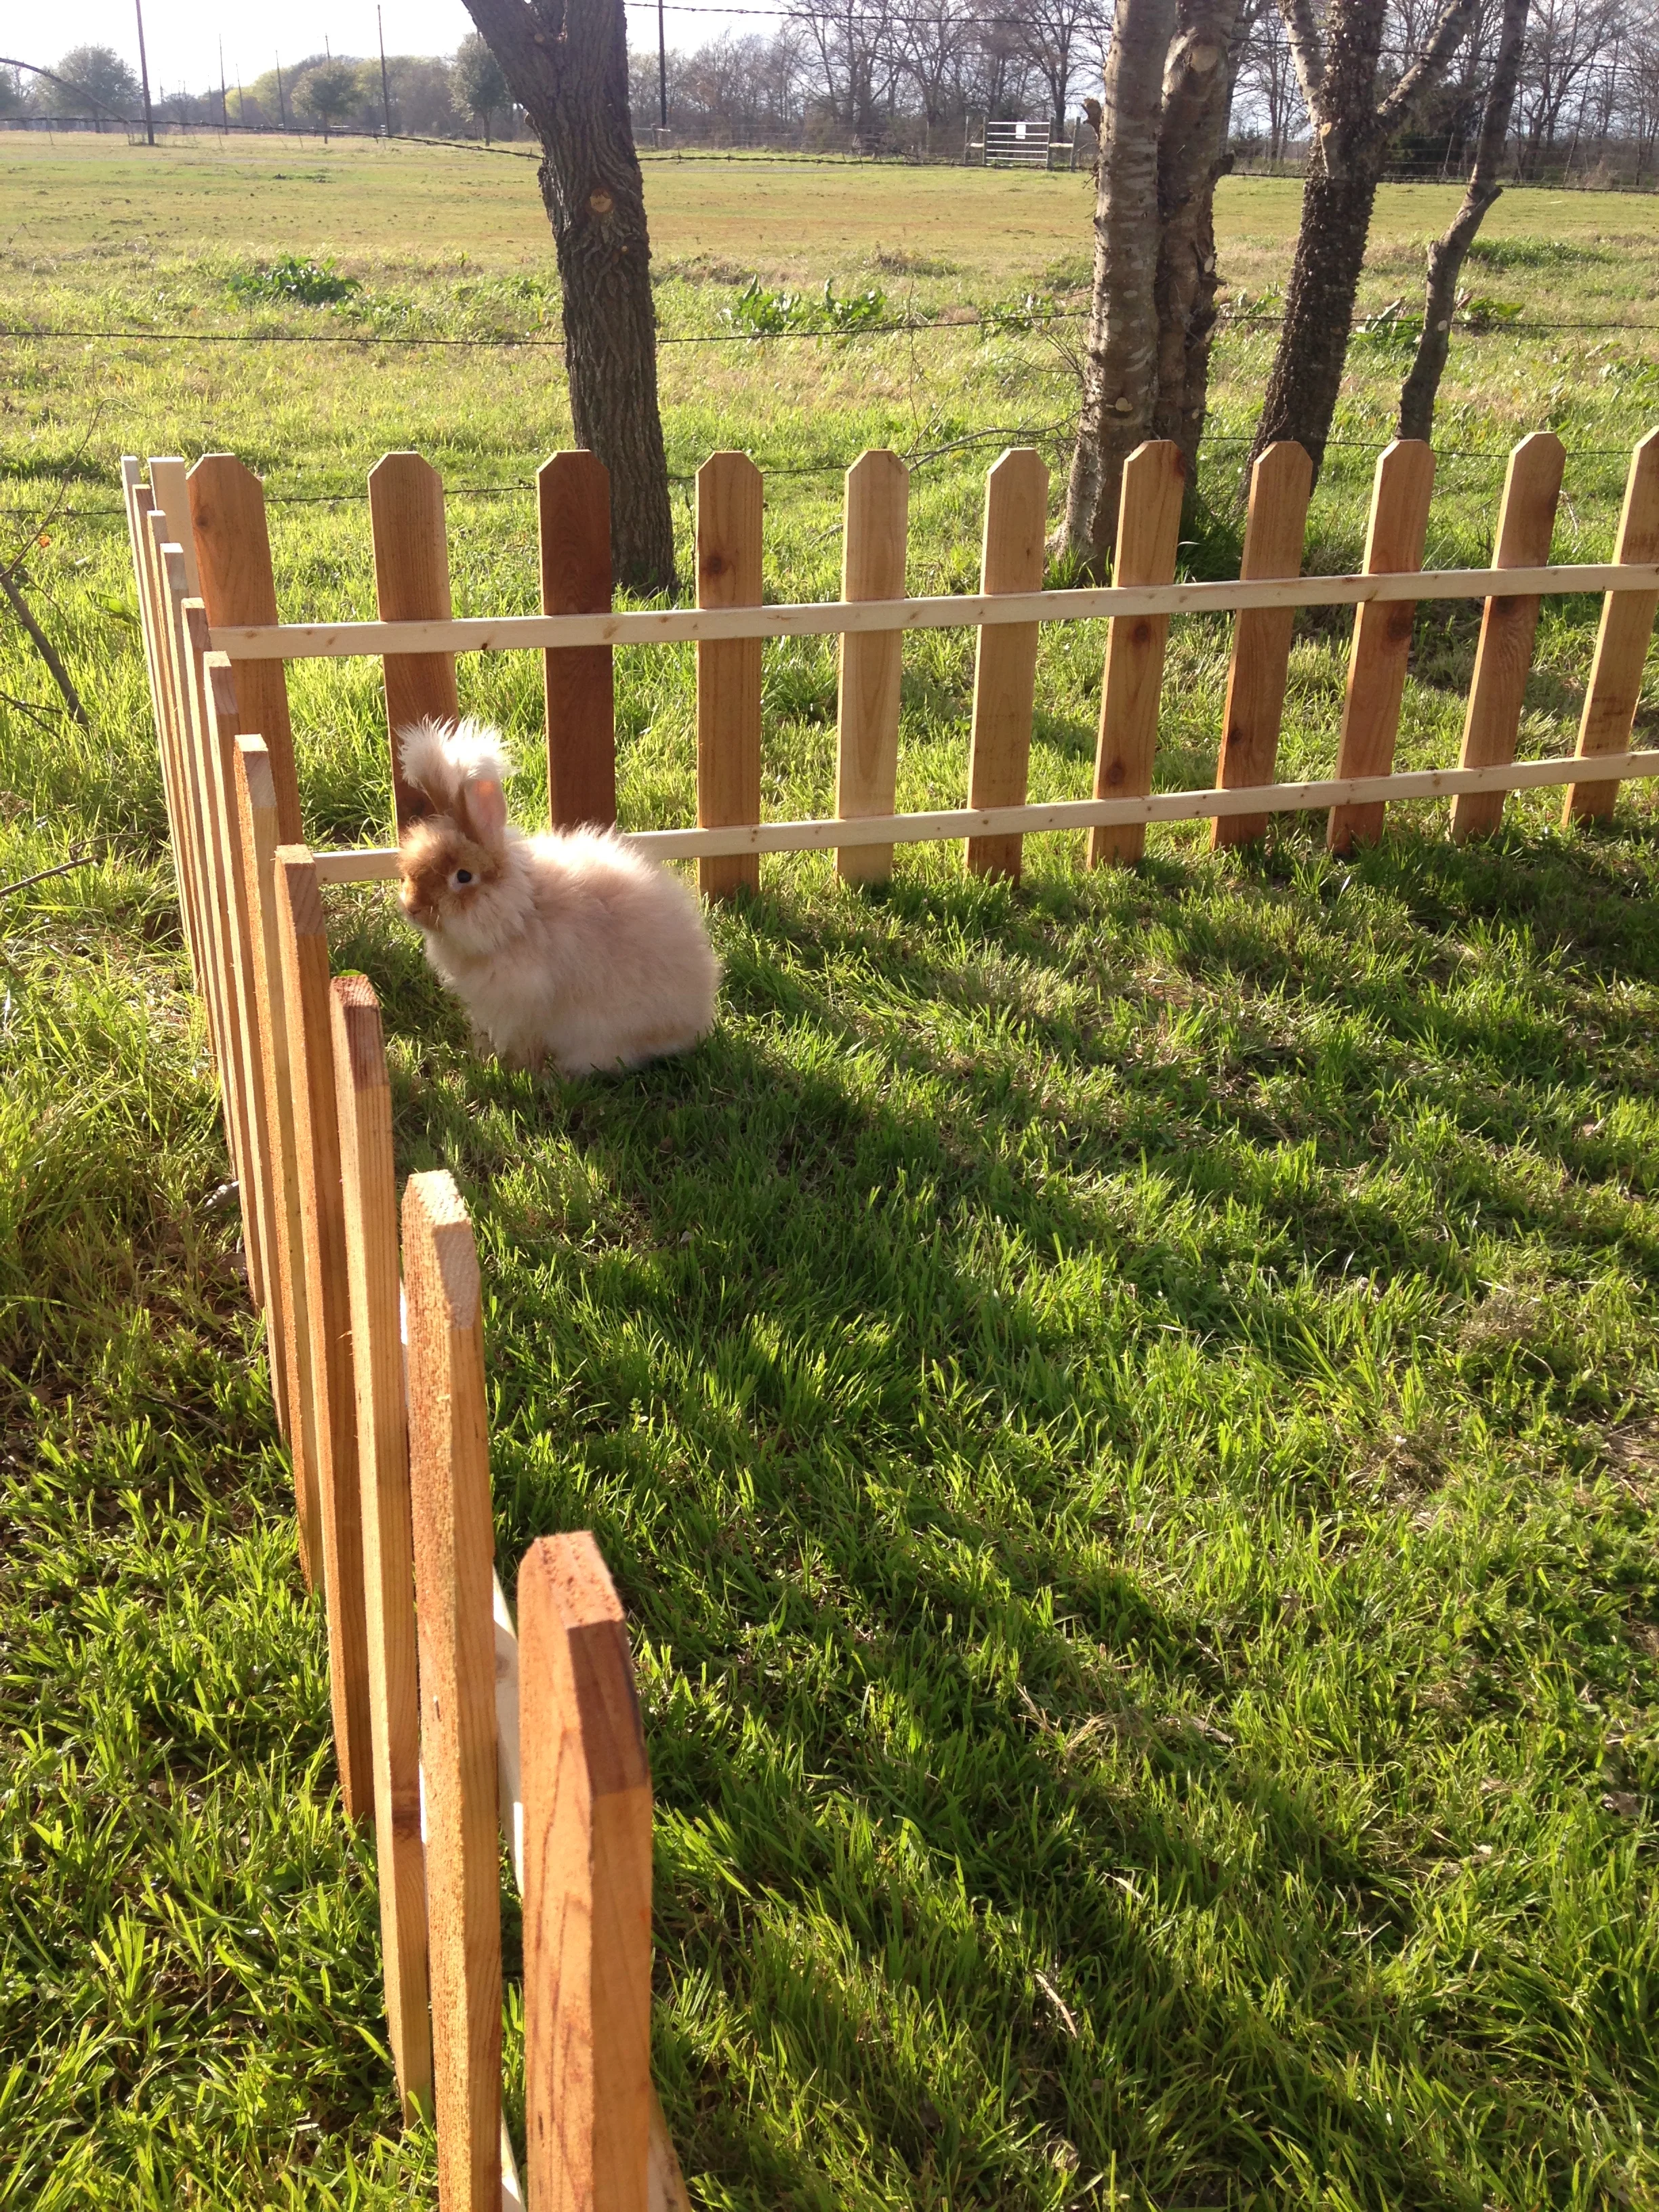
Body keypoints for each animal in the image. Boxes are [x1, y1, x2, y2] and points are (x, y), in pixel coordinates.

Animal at [395, 717, 720, 1076]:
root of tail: (695, 1019)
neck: (522, 913)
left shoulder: (524, 1008)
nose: (412, 908)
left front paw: (519, 1071)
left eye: (463, 876)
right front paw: (484, 1057)